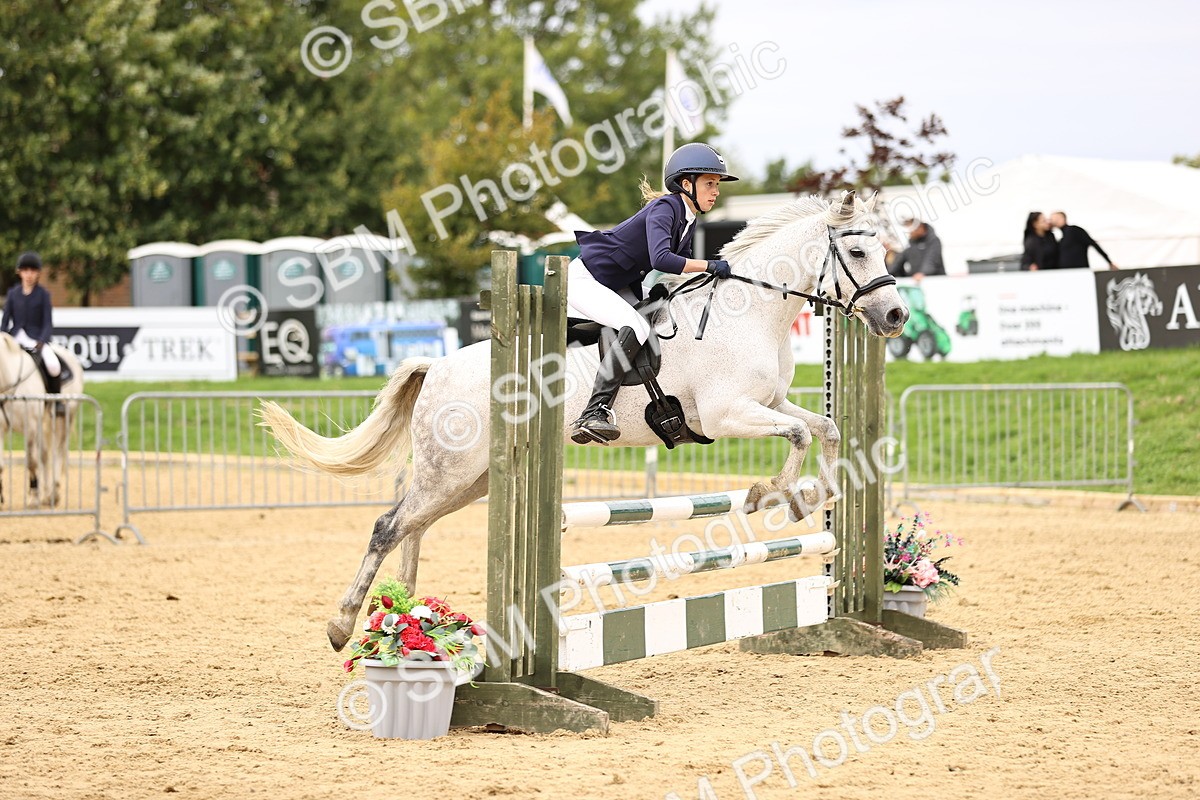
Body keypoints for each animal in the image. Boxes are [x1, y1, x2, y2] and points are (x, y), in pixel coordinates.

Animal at [0, 333, 85, 508]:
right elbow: (1, 465)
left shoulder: (31, 426)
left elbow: (31, 462)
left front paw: (33, 496)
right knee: (45, 454)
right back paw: (46, 495)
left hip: (64, 419)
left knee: (58, 451)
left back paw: (54, 493)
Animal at [260, 191, 909, 651]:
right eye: (857, 252)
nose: (896, 316)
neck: (748, 312)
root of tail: (436, 365)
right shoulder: (728, 415)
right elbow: (798, 436)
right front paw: (774, 494)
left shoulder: (770, 403)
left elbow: (823, 429)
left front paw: (818, 496)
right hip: (451, 472)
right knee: (387, 526)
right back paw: (346, 625)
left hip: (470, 480)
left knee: (412, 526)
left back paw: (402, 613)